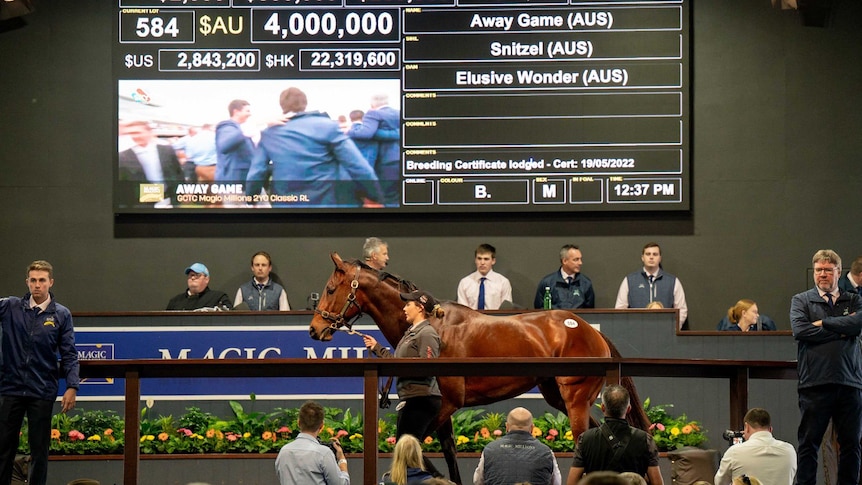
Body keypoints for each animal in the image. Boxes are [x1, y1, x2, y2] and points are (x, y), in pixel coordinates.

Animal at [310, 251, 648, 482]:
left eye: (330, 289)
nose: (315, 329)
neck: (433, 325)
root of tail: (590, 330)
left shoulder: (447, 403)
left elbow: (413, 447)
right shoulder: (443, 410)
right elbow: (447, 453)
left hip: (574, 398)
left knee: (582, 439)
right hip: (558, 396)